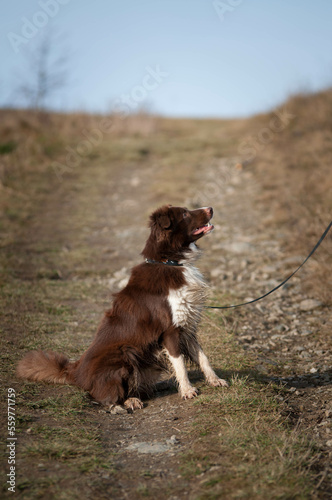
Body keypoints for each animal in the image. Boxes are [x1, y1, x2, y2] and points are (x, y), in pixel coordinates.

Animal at [17, 205, 228, 408]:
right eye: (184, 213)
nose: (210, 208)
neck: (171, 262)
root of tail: (75, 372)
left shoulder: (187, 326)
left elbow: (202, 357)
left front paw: (215, 380)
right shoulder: (169, 330)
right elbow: (180, 364)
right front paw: (187, 391)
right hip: (125, 352)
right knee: (102, 395)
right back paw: (130, 401)